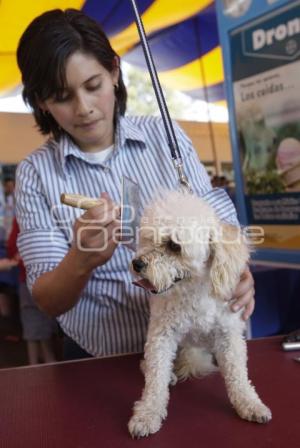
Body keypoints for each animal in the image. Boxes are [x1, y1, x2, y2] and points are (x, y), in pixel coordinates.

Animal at [128, 189, 272, 438]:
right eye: (148, 237)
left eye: (174, 246)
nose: (137, 263)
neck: (192, 290)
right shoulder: (161, 336)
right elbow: (155, 378)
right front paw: (147, 414)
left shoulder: (228, 334)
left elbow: (238, 375)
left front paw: (249, 403)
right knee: (149, 365)